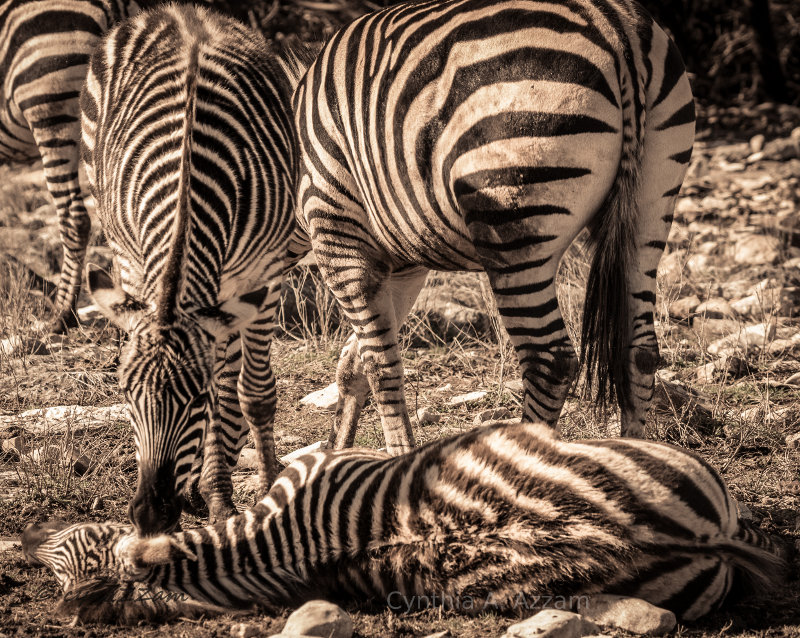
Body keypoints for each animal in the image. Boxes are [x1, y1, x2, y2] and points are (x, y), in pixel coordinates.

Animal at [81, 3, 304, 536]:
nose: (150, 517)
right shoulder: (133, 266)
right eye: (124, 393)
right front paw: (211, 491)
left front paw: (251, 492)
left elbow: (251, 394)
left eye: (196, 398)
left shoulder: (263, 274)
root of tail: (179, 12)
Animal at [290, 0, 696, 456]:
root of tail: (614, 27)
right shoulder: (402, 264)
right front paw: (337, 460)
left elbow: (379, 363)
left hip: (513, 209)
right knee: (638, 351)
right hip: (652, 200)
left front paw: (395, 459)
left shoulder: (337, 226)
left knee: (550, 360)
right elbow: (354, 362)